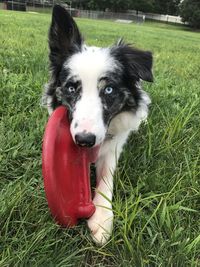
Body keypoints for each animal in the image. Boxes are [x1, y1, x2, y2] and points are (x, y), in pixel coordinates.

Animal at [42, 4, 153, 247]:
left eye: (109, 90)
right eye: (71, 88)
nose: (84, 141)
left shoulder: (113, 148)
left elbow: (106, 179)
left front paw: (101, 218)